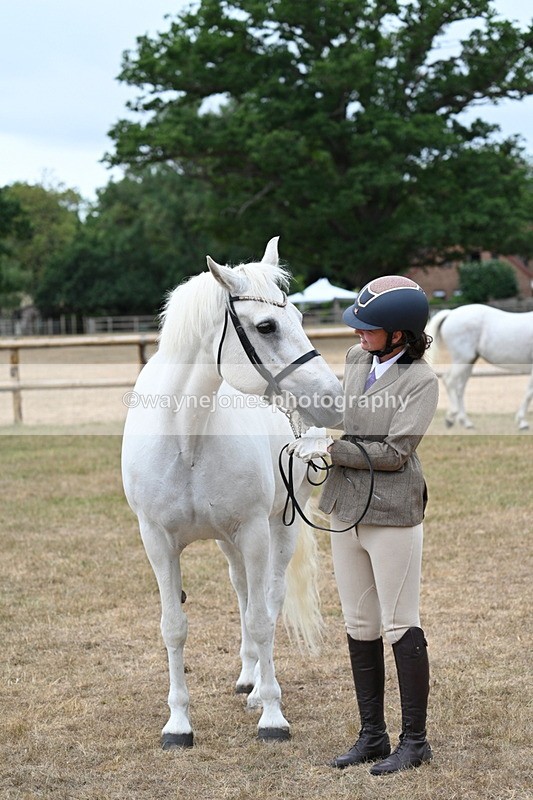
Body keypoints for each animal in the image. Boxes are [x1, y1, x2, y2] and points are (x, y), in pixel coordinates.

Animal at [121, 237, 344, 749]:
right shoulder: (157, 540)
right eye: (266, 326)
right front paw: (178, 724)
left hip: (276, 530)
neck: (187, 439)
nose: (333, 397)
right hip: (229, 542)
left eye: (300, 316)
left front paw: (273, 717)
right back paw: (248, 677)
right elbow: (174, 627)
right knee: (243, 592)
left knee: (268, 599)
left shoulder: (255, 531)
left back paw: (260, 689)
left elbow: (263, 617)